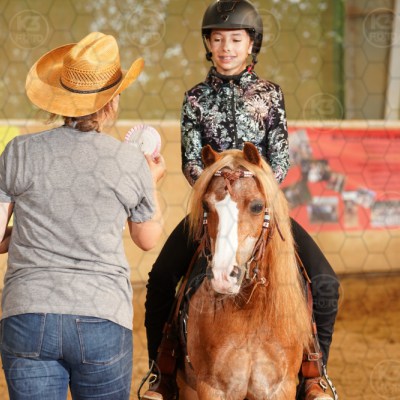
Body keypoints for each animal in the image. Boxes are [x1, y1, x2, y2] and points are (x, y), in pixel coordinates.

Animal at [177, 143, 313, 400]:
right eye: (206, 205)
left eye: (257, 206)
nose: (222, 276)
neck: (250, 313)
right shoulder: (212, 388)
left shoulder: (280, 388)